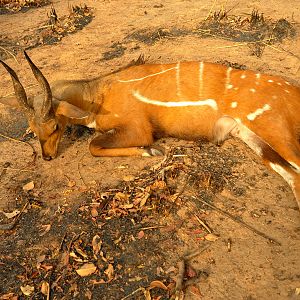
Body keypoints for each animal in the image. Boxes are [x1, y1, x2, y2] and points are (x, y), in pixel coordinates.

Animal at [0, 51, 300, 211]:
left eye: (54, 125)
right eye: (31, 129)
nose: (48, 156)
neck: (98, 96)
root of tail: (293, 90)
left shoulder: (139, 128)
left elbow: (94, 146)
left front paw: (151, 152)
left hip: (273, 131)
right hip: (253, 138)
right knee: (293, 178)